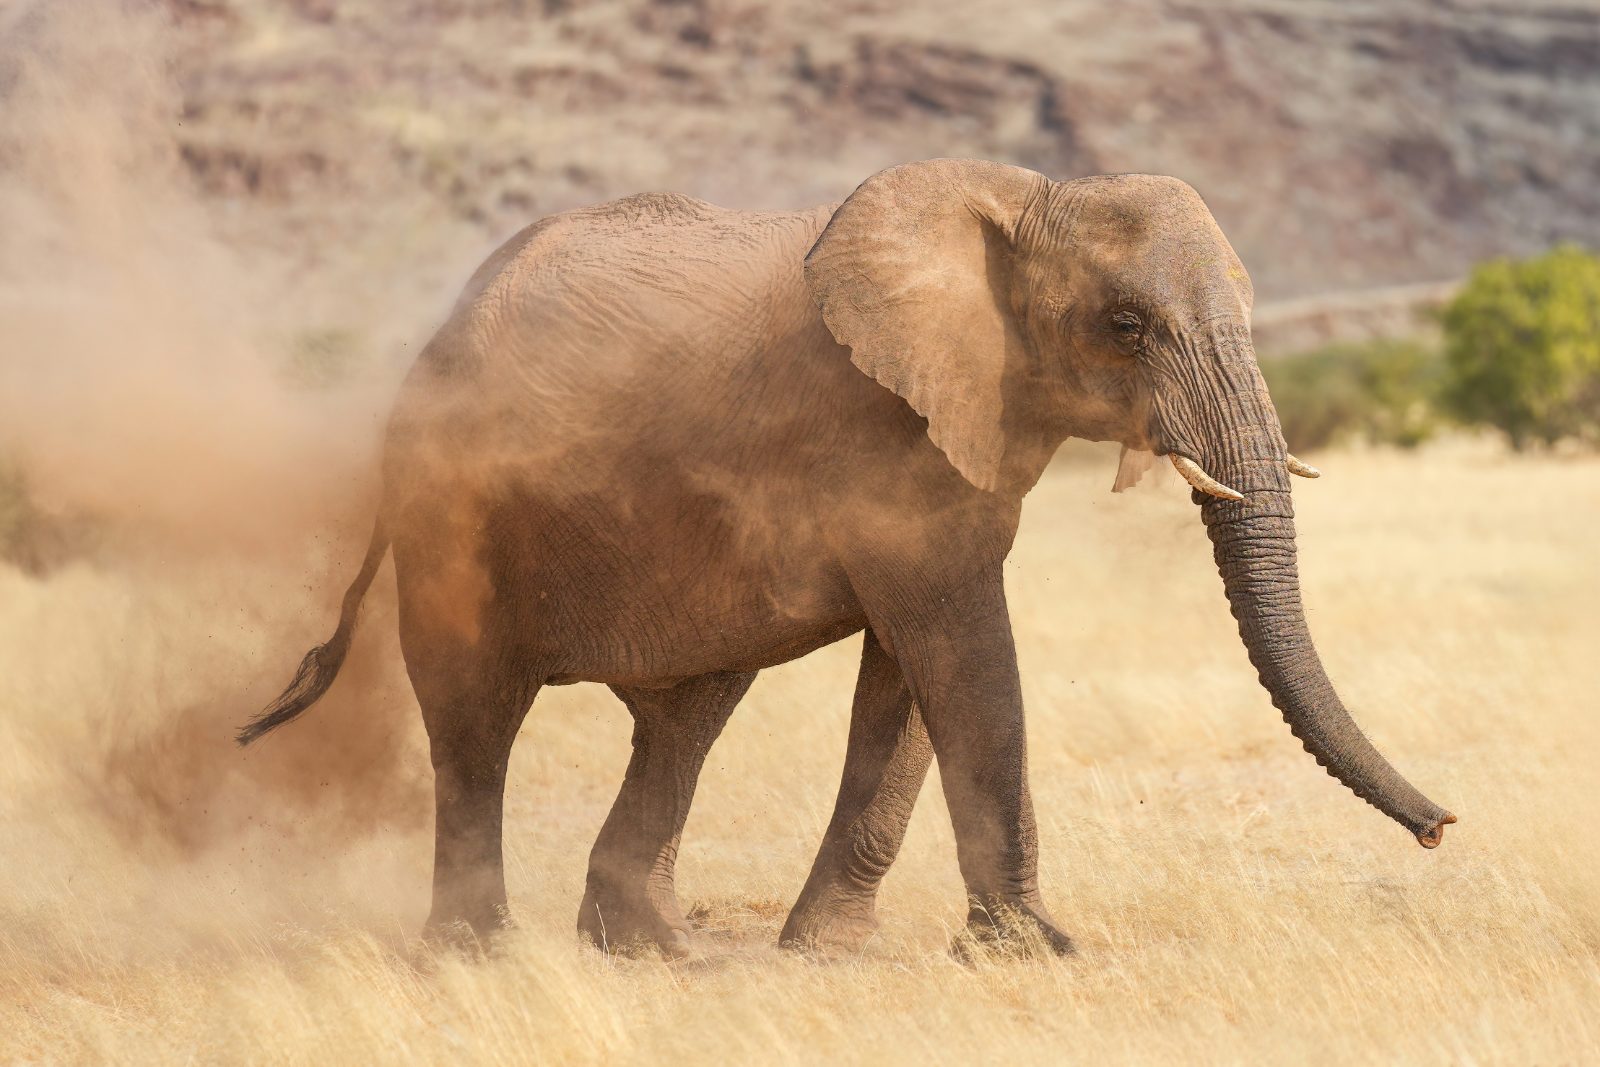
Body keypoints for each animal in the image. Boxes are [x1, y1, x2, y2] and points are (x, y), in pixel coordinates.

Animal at [236, 158, 1454, 957]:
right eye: (1126, 326)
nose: (1443, 826)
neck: (1021, 195)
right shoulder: (883, 428)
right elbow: (962, 653)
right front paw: (1038, 948)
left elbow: (911, 674)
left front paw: (833, 950)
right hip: (452, 508)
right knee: (476, 721)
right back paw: (479, 953)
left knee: (686, 712)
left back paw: (658, 949)